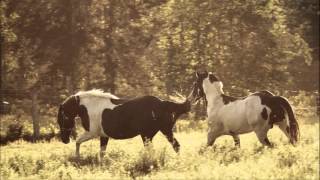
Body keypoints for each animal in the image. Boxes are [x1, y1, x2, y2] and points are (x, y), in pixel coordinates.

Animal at [57, 89, 190, 157]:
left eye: (62, 119)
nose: (64, 140)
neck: (89, 107)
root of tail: (162, 103)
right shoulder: (103, 136)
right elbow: (102, 152)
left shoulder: (91, 133)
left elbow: (78, 142)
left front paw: (77, 158)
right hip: (160, 132)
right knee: (175, 146)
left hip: (149, 135)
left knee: (159, 149)